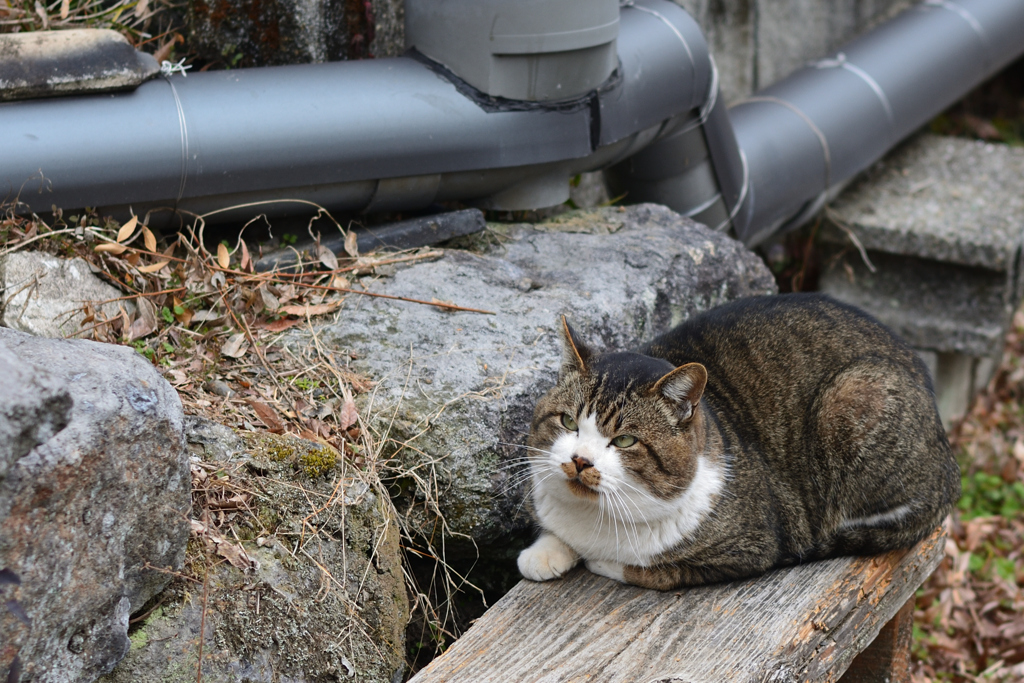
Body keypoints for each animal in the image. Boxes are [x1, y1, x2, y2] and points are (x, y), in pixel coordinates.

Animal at [520, 290, 958, 589]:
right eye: (568, 421)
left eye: (625, 440)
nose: (580, 460)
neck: (595, 517)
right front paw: (544, 552)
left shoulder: (749, 547)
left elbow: (654, 570)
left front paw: (601, 561)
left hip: (854, 396)